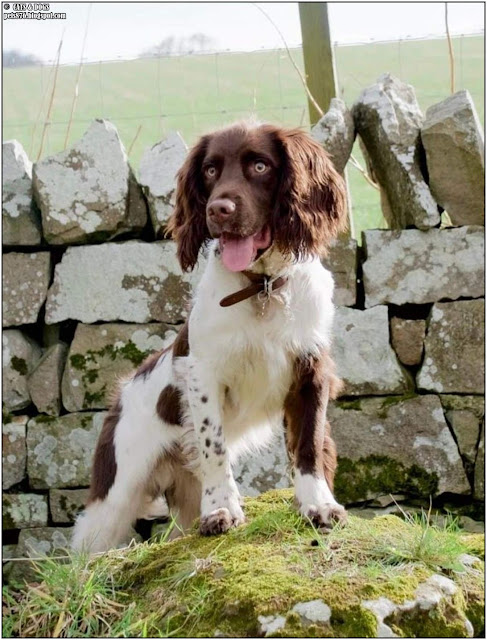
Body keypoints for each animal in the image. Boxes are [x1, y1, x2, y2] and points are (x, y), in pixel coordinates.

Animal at [70, 122, 348, 552]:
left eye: (260, 165)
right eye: (211, 170)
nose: (218, 209)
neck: (262, 288)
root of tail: (123, 391)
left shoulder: (312, 369)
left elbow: (310, 444)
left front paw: (318, 504)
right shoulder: (203, 374)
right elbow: (214, 446)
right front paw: (222, 510)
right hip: (115, 494)